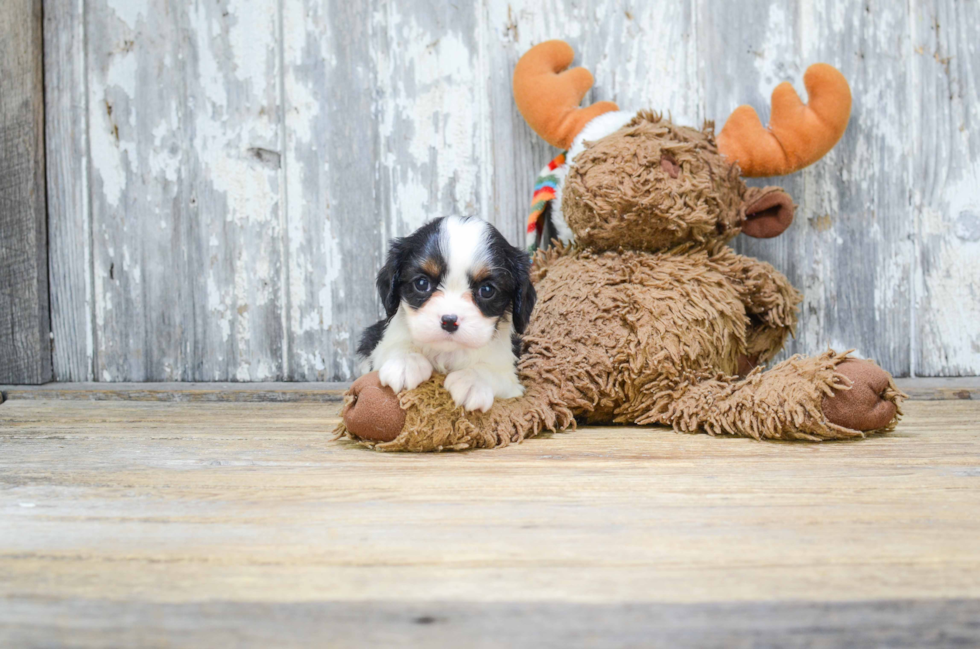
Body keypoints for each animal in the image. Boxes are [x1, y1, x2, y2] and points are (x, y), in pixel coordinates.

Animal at [356, 216, 536, 410]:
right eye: (421, 283)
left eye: (487, 290)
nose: (449, 321)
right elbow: (396, 345)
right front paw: (405, 362)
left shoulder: (511, 382)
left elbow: (493, 371)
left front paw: (472, 381)